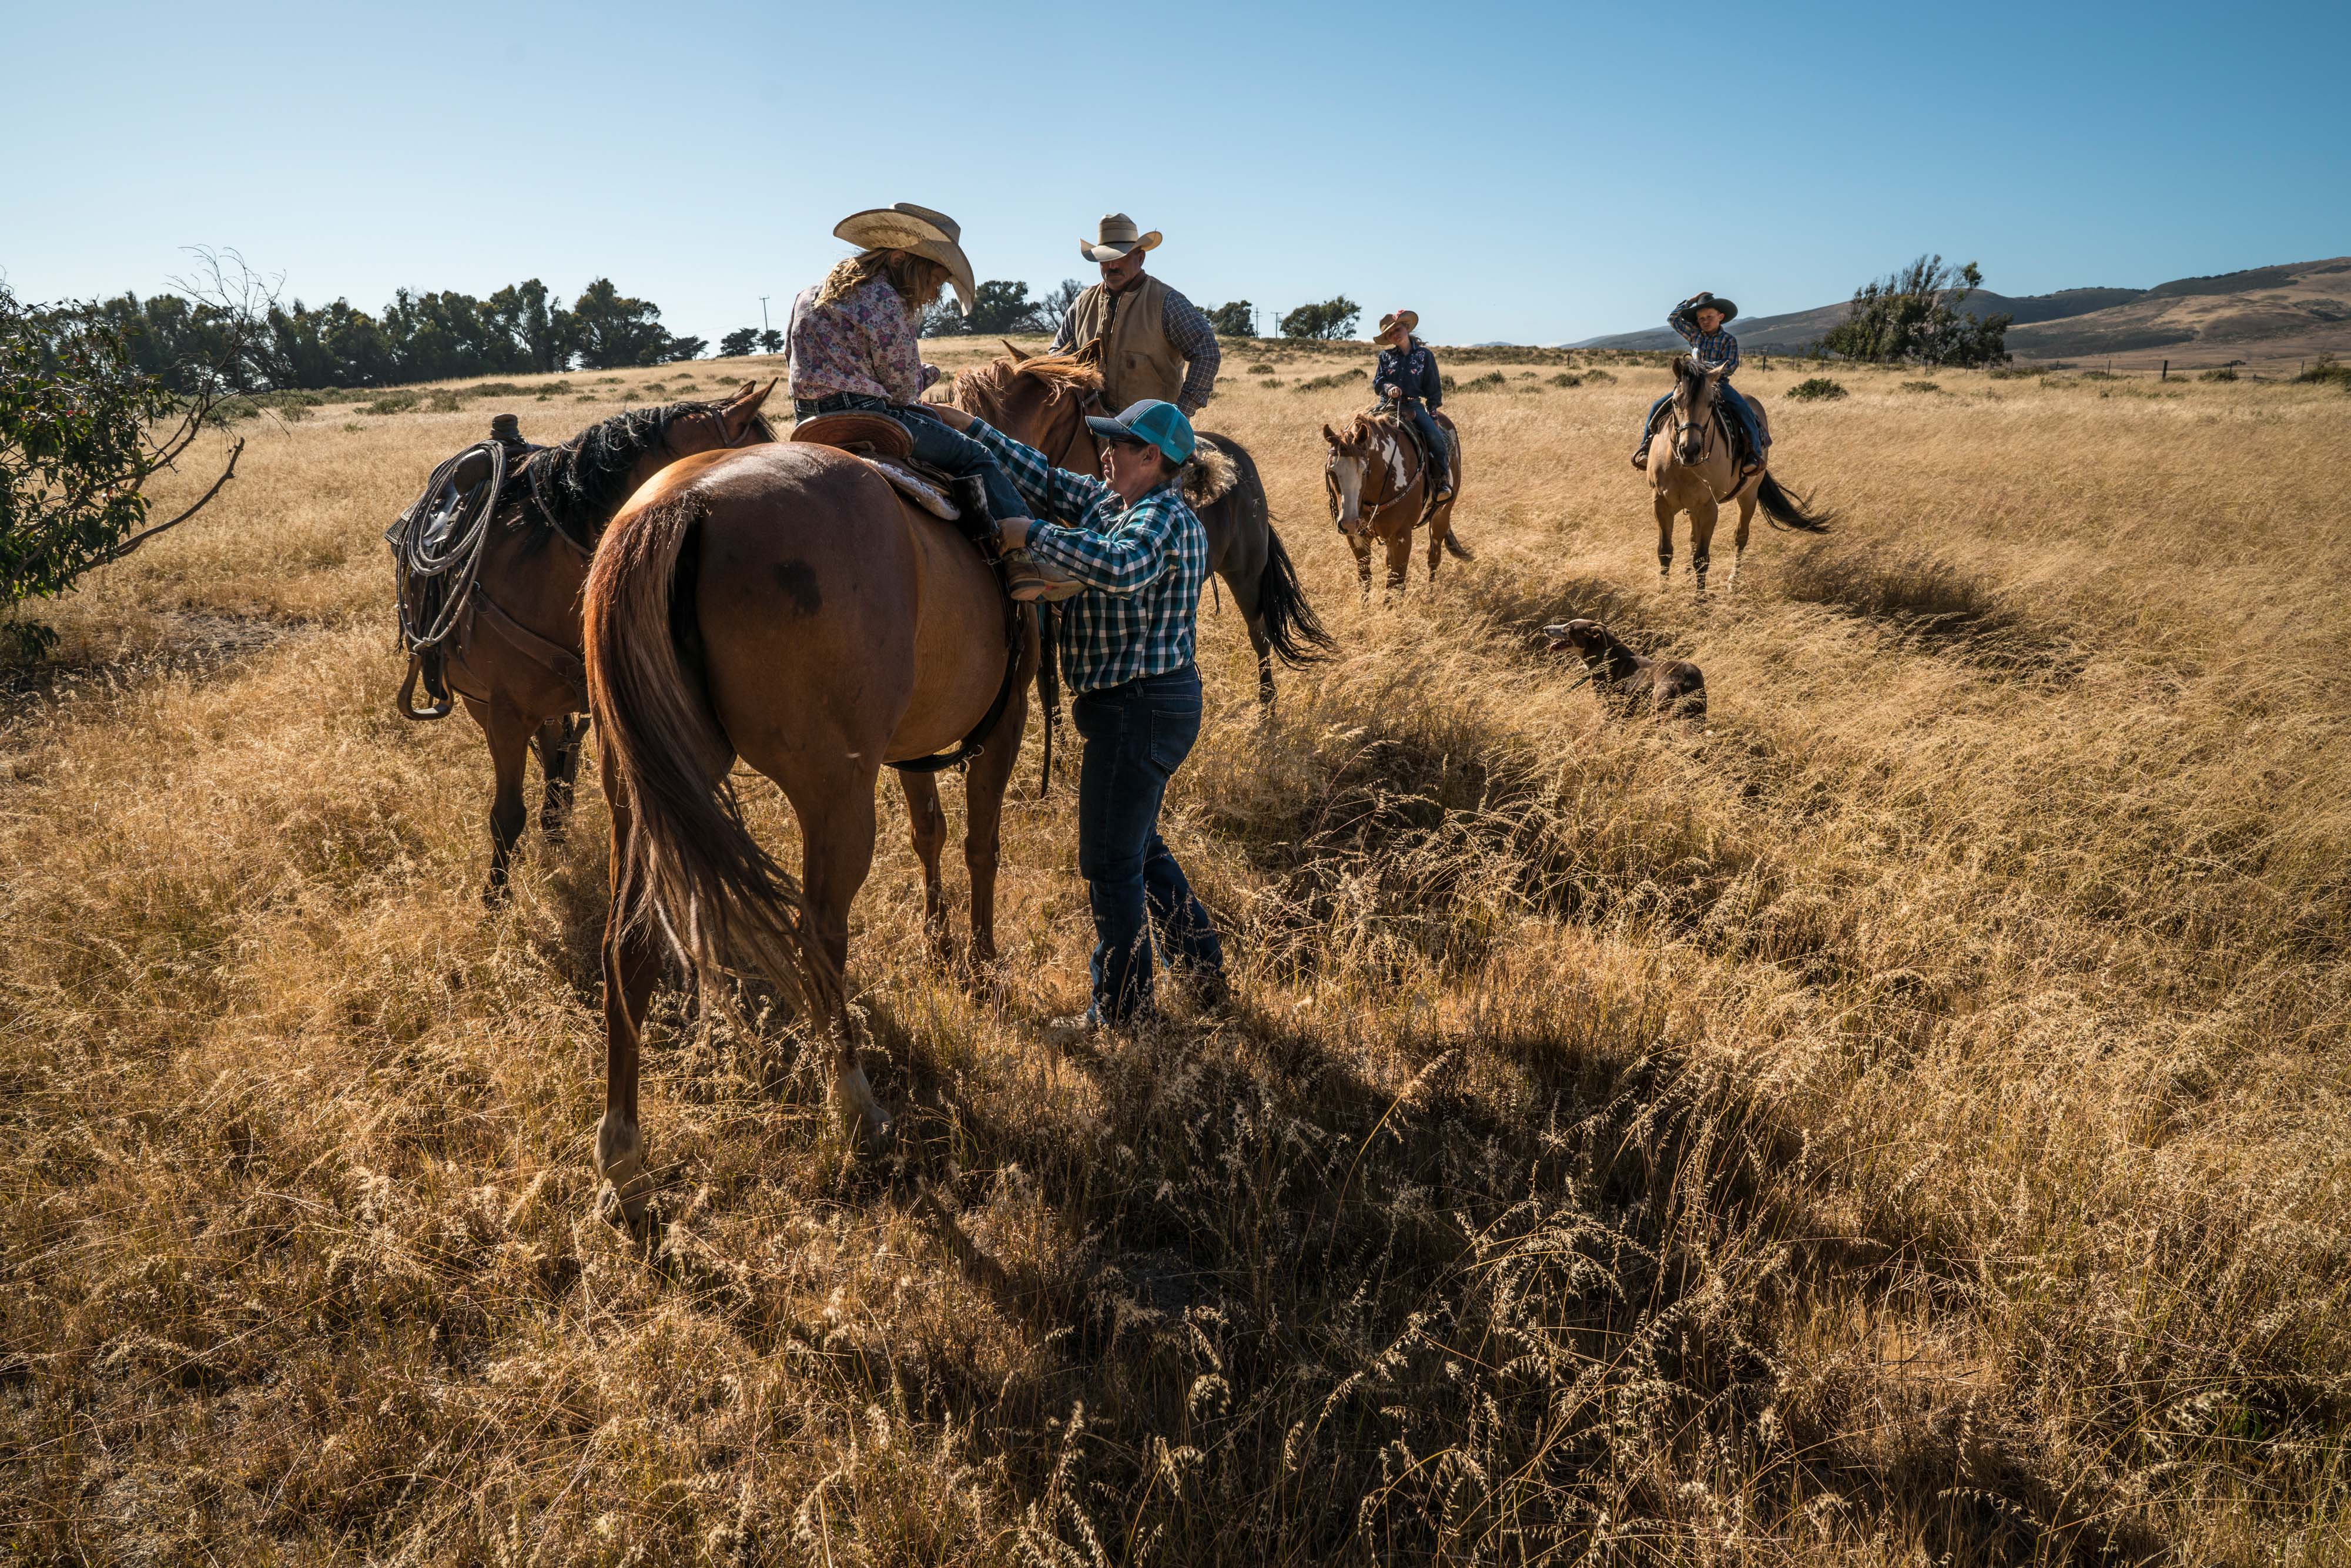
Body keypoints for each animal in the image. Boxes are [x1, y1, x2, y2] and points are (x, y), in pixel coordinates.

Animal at [393, 381, 781, 903]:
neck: (550, 564)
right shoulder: (504, 714)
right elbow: (506, 815)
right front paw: (495, 901)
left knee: (559, 772)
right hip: (480, 702)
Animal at [583, 430, 1044, 1222]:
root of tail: (679, 507)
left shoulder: (913, 747)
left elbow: (928, 834)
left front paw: (940, 948)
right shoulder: (1002, 723)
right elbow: (980, 844)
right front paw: (981, 964)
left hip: (637, 794)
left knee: (630, 945)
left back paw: (624, 1160)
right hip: (834, 794)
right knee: (818, 936)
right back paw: (856, 1107)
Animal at [1326, 404, 1467, 595]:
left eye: (1365, 471)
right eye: (1331, 471)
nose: (1348, 523)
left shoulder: (1402, 537)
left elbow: (1396, 584)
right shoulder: (1357, 538)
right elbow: (1366, 579)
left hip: (1442, 516)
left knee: (1434, 557)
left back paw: (1430, 595)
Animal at [1542, 621, 1712, 729]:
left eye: (1568, 628)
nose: (1546, 628)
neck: (1604, 654)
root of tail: (1684, 680)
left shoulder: (1610, 707)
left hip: (1661, 712)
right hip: (1698, 714)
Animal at [1646, 355, 1824, 588]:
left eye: (1710, 404)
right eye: (1676, 402)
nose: (1689, 450)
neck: (1683, 467)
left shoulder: (1710, 508)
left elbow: (1702, 559)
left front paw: (1701, 597)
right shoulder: (1661, 504)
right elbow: (1665, 552)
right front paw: (1664, 593)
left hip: (1749, 495)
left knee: (1741, 536)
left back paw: (1733, 581)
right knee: (1693, 538)